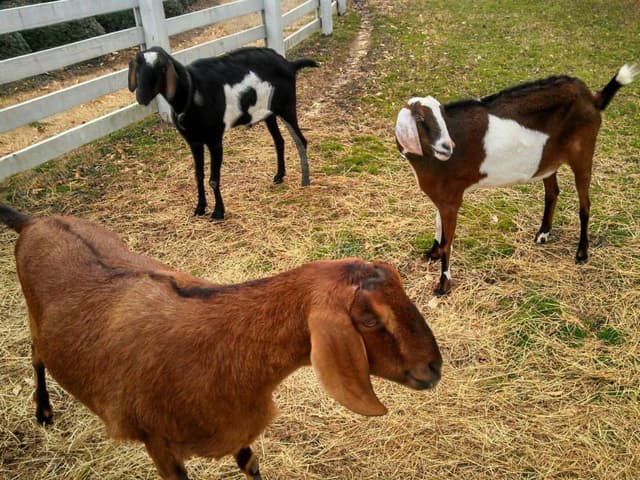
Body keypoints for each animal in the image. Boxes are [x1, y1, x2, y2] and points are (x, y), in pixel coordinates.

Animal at [0, 203, 442, 480]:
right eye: (369, 319)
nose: (434, 368)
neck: (227, 340)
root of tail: (34, 223)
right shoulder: (157, 442)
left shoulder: (234, 423)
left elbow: (251, 464)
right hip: (36, 323)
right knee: (37, 356)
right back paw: (42, 412)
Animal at [128, 46, 319, 221]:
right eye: (138, 66)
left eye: (162, 68)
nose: (141, 96)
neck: (192, 90)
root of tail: (289, 64)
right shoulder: (194, 141)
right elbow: (198, 176)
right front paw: (200, 208)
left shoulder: (214, 140)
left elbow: (214, 179)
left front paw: (218, 213)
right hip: (268, 114)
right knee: (279, 141)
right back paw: (279, 176)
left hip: (287, 107)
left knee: (301, 140)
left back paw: (305, 181)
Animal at [395, 64, 638, 295]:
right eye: (420, 117)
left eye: (442, 116)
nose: (447, 147)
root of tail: (591, 97)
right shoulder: (442, 197)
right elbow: (438, 226)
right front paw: (433, 253)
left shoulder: (451, 198)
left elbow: (448, 241)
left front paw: (443, 284)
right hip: (548, 161)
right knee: (552, 192)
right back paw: (543, 234)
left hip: (583, 153)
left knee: (585, 204)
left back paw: (581, 252)